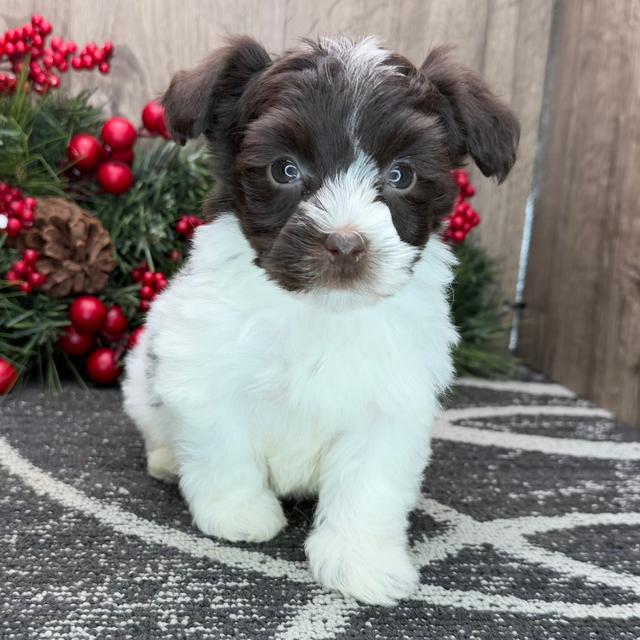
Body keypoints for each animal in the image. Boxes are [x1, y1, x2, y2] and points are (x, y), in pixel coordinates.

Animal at [121, 35, 520, 604]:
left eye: (401, 175)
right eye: (284, 169)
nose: (346, 243)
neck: (322, 310)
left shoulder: (393, 400)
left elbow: (371, 482)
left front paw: (362, 560)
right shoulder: (203, 368)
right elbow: (221, 445)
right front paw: (238, 513)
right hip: (141, 376)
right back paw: (167, 459)